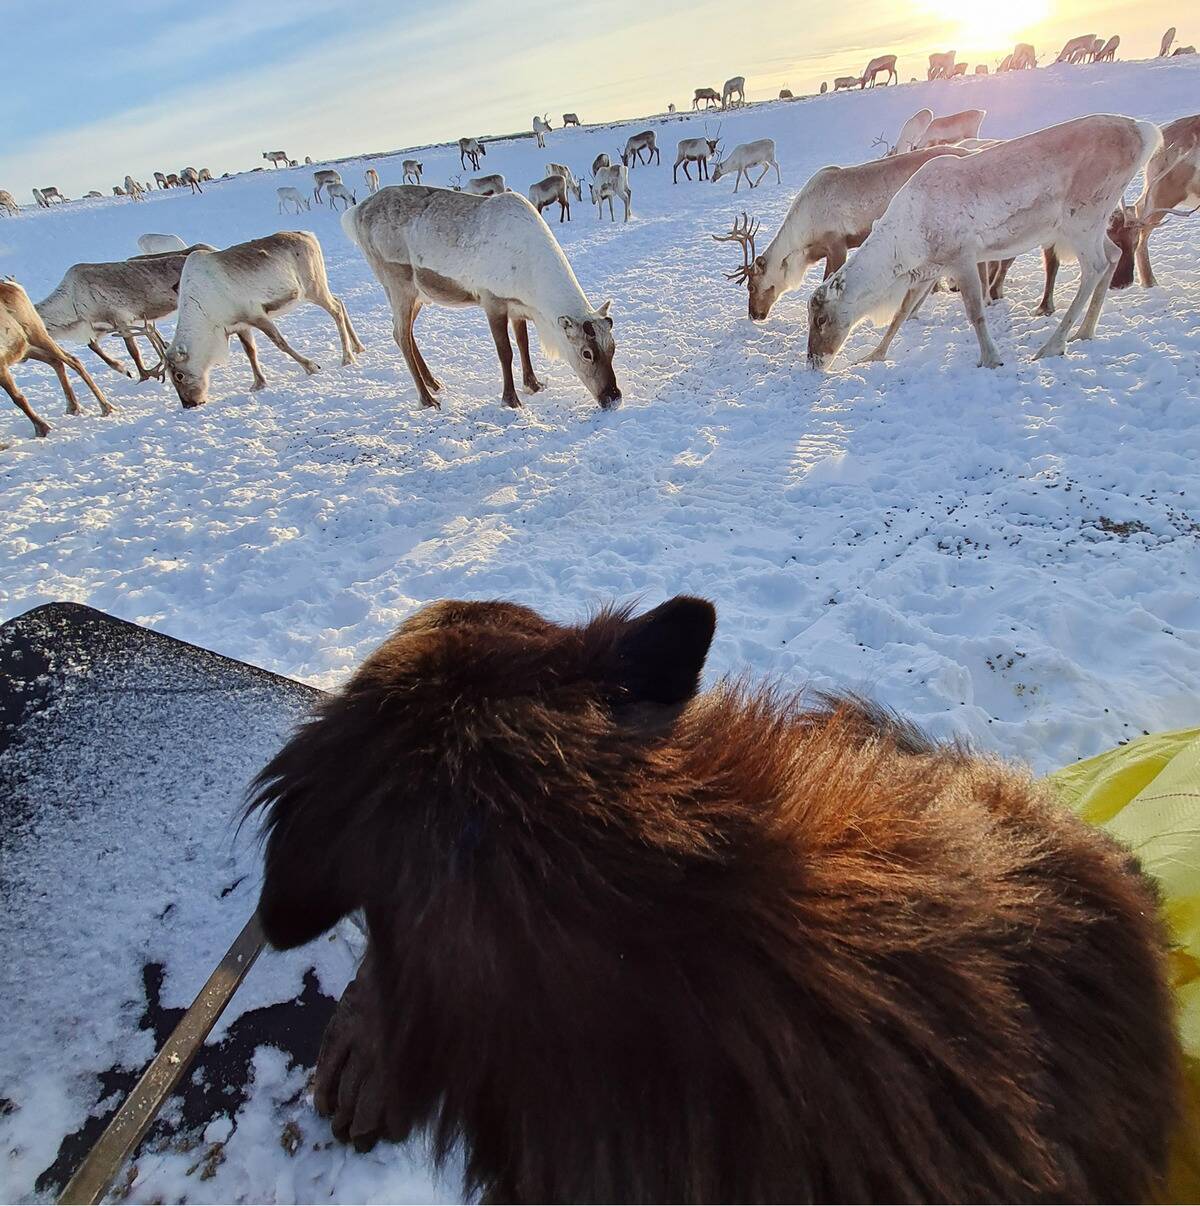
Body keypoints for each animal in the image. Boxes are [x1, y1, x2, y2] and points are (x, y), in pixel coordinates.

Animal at [1, 279, 114, 437]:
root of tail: (12, 285)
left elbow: (18, 398)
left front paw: (43, 429)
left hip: (38, 336)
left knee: (72, 361)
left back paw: (105, 407)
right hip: (28, 350)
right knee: (56, 362)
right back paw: (73, 407)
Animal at [164, 233, 363, 408]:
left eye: (179, 375)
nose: (189, 404)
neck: (205, 315)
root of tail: (309, 235)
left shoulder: (256, 314)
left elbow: (281, 343)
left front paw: (312, 366)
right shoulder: (239, 325)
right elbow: (250, 352)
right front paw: (258, 384)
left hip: (314, 288)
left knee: (336, 310)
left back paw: (347, 358)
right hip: (318, 289)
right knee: (339, 301)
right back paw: (358, 347)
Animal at [342, 186, 619, 410]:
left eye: (613, 348)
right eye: (586, 353)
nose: (614, 397)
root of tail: (355, 212)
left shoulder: (517, 306)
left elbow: (523, 343)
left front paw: (533, 384)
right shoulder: (492, 300)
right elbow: (505, 351)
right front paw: (510, 400)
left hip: (418, 294)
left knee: (404, 331)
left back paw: (433, 383)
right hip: (399, 283)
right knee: (400, 333)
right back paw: (427, 399)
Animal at [806, 115, 1162, 371]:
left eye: (820, 318)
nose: (814, 362)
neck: (904, 248)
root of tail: (1146, 132)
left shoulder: (962, 256)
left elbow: (975, 312)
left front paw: (992, 358)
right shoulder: (930, 269)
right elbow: (901, 314)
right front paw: (873, 355)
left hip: (1082, 218)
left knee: (1096, 266)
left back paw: (1052, 346)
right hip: (1093, 223)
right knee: (1113, 254)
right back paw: (1084, 332)